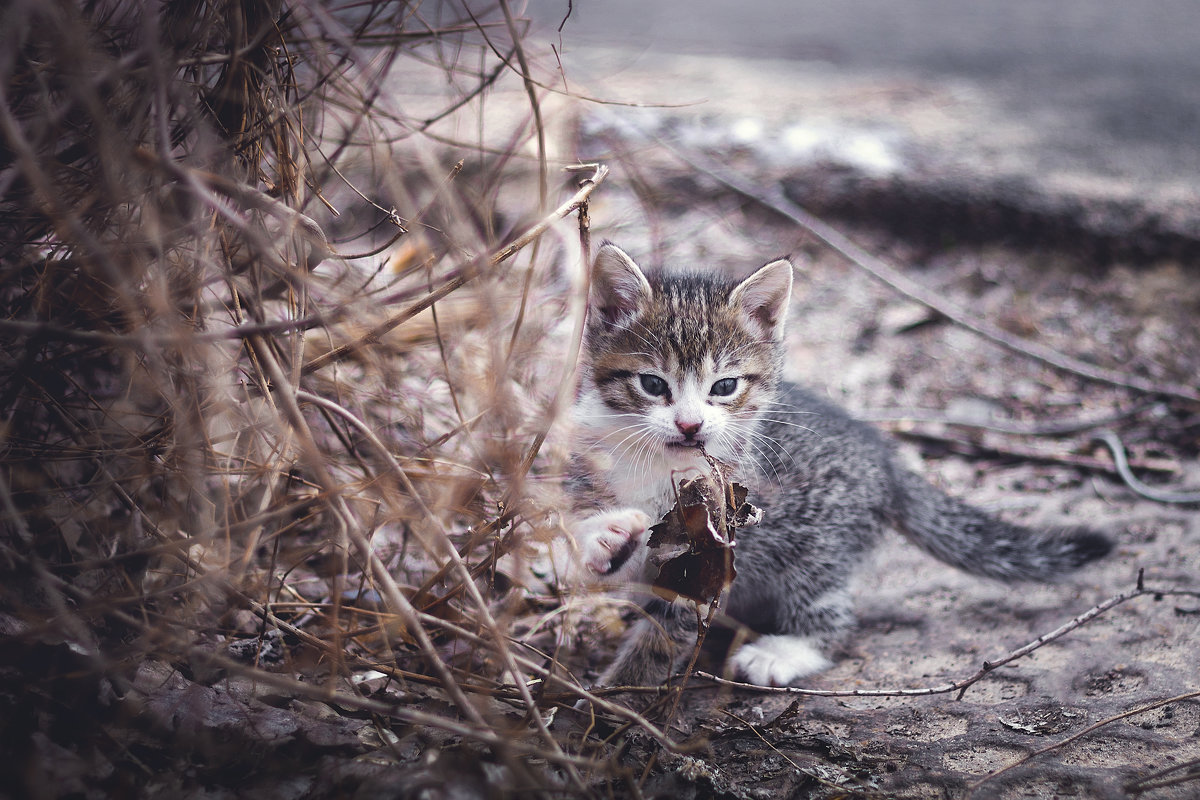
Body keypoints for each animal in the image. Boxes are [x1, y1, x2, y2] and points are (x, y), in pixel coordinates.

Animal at [564, 244, 1113, 690]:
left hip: (815, 549)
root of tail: (885, 461)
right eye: (653, 384)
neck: (658, 465)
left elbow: (660, 634)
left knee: (836, 615)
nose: (690, 425)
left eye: (724, 386)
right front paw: (604, 537)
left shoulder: (712, 551)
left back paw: (784, 652)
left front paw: (614, 704)